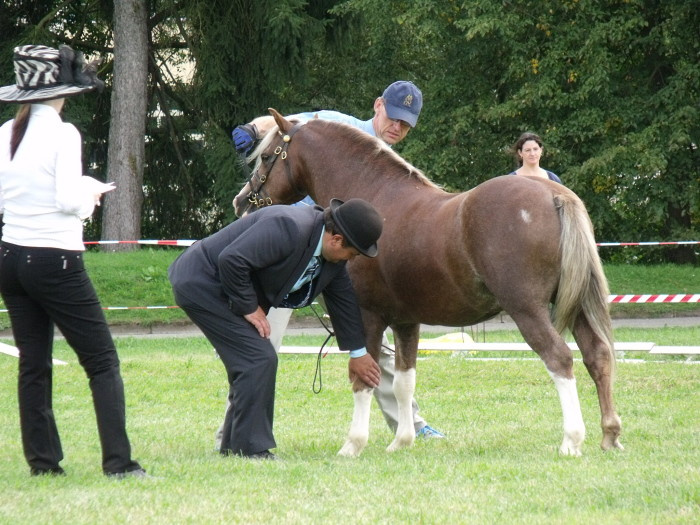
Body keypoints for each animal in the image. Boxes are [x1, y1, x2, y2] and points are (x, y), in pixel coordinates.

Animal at [233, 109, 623, 458]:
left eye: (266, 156)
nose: (241, 202)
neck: (374, 197)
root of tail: (555, 195)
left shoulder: (366, 316)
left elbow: (363, 379)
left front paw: (352, 445)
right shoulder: (406, 321)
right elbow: (404, 382)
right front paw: (401, 441)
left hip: (527, 309)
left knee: (560, 359)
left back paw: (571, 440)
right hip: (575, 305)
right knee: (597, 355)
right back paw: (610, 434)